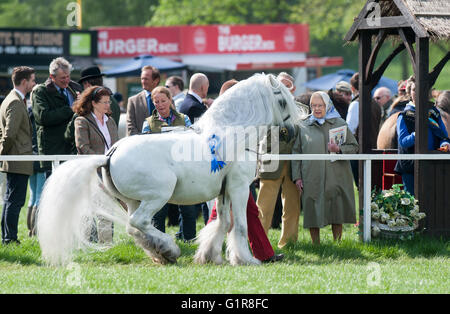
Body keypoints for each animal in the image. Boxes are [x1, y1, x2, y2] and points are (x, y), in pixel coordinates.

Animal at [37, 73, 306, 264]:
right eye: (282, 101)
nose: (292, 132)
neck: (232, 135)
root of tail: (109, 154)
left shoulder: (223, 191)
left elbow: (223, 222)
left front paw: (210, 256)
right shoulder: (239, 188)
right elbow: (240, 225)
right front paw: (245, 259)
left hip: (134, 200)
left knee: (134, 228)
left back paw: (162, 253)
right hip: (158, 196)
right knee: (139, 222)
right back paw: (170, 249)